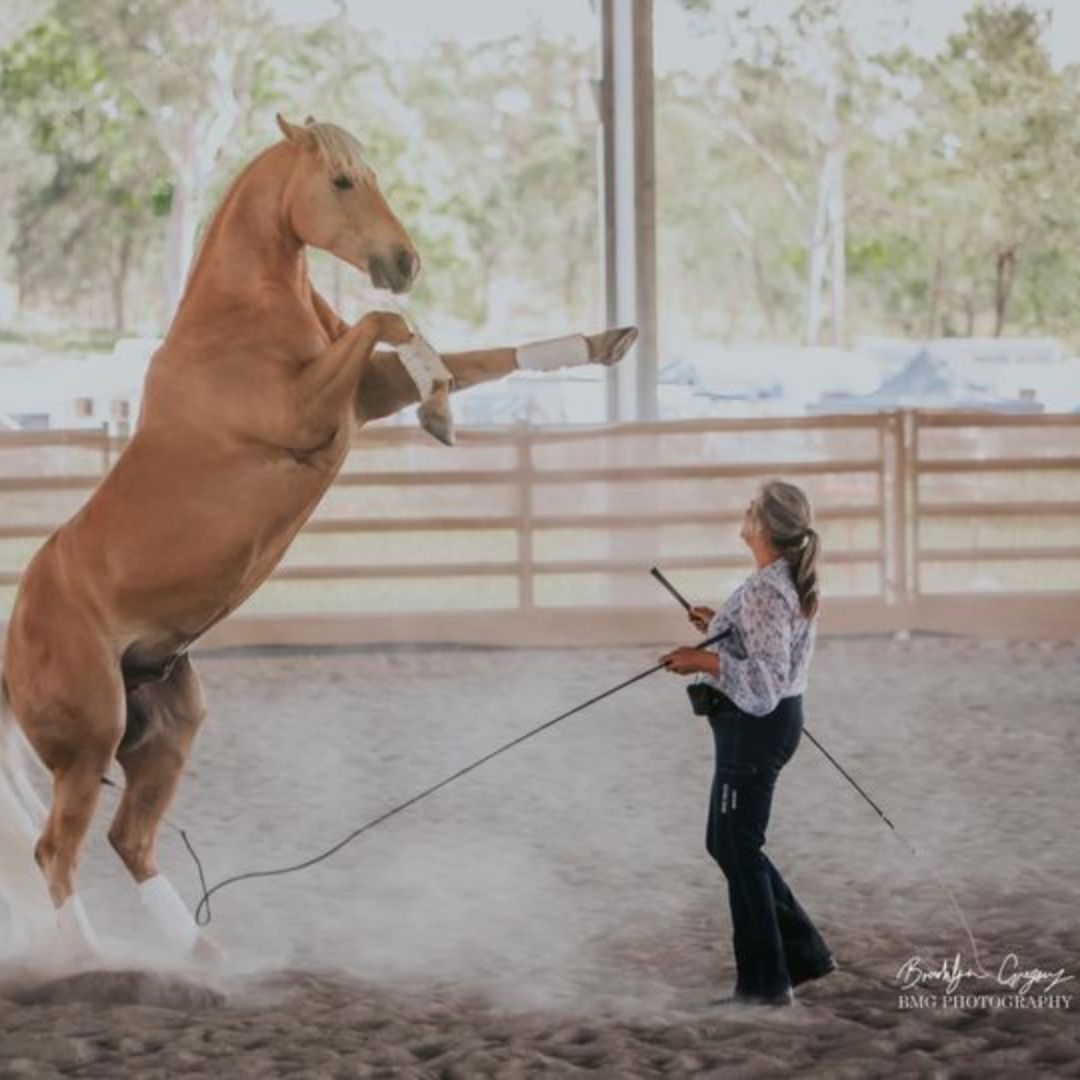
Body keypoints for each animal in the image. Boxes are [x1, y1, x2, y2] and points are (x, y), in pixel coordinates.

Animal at [0, 116, 635, 963]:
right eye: (341, 180)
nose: (405, 262)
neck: (235, 324)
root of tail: (13, 642)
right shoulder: (309, 414)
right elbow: (388, 325)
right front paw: (441, 412)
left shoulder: (362, 397)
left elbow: (466, 353)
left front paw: (601, 342)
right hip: (89, 742)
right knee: (54, 853)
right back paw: (93, 963)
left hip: (165, 728)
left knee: (127, 841)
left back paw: (202, 960)